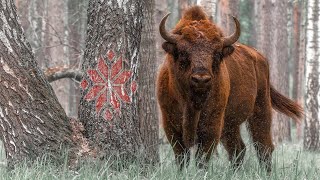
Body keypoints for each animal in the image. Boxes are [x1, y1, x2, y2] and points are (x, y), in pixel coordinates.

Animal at [156, 5, 304, 172]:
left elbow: (203, 156)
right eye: (182, 52)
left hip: (261, 109)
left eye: (217, 53)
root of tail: (259, 57)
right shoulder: (170, 123)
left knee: (263, 146)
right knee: (238, 148)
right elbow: (182, 155)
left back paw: (266, 172)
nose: (201, 79)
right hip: (230, 124)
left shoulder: (212, 123)